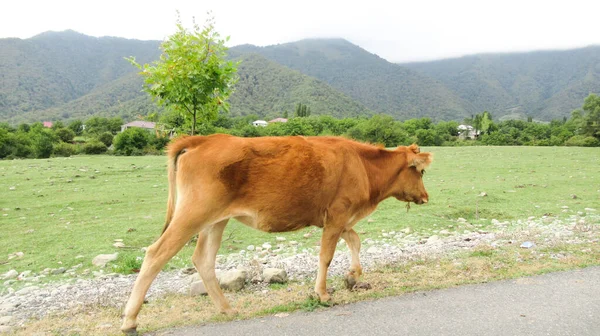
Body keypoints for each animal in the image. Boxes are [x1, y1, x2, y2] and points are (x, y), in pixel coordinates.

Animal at [122, 134, 432, 334]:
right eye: (421, 173)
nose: (426, 197)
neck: (363, 166)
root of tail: (203, 139)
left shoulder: (337, 218)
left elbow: (355, 240)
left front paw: (353, 276)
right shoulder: (337, 215)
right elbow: (326, 256)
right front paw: (323, 293)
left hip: (215, 220)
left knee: (203, 259)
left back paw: (226, 309)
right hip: (193, 214)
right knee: (156, 253)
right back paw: (130, 321)